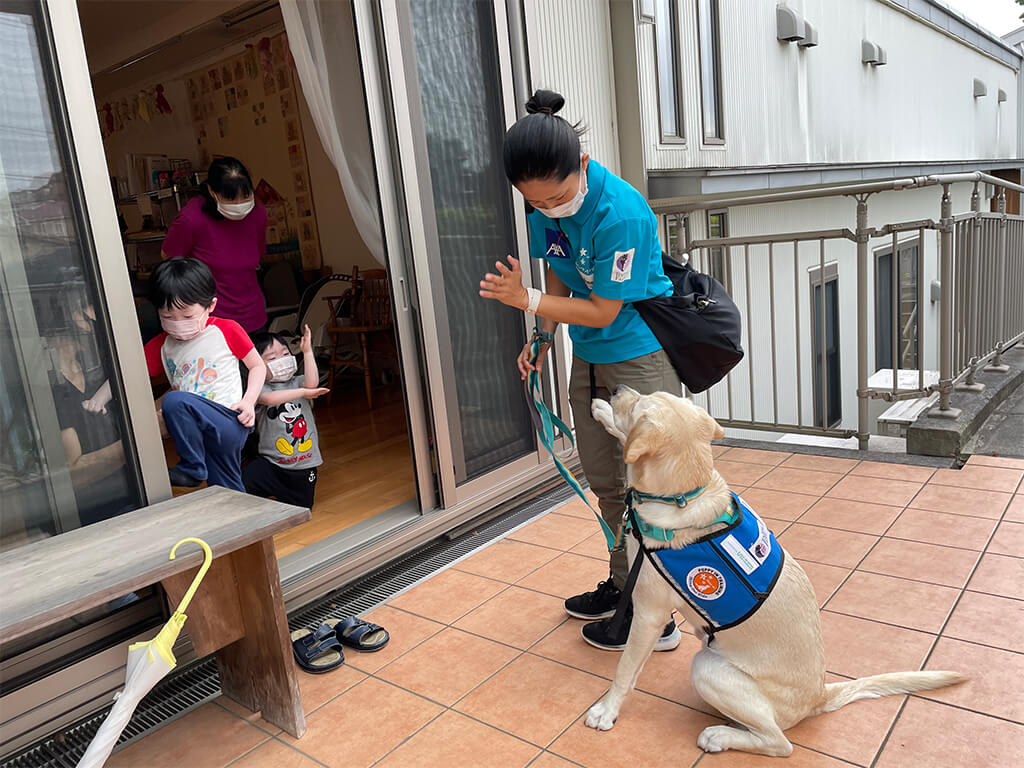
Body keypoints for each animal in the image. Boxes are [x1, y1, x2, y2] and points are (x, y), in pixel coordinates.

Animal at [581, 387, 962, 761]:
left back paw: (720, 736)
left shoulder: (649, 612)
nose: (615, 388)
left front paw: (606, 711)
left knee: (780, 743)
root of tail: (819, 695)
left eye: (636, 405)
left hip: (706, 666)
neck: (682, 495)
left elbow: (625, 669)